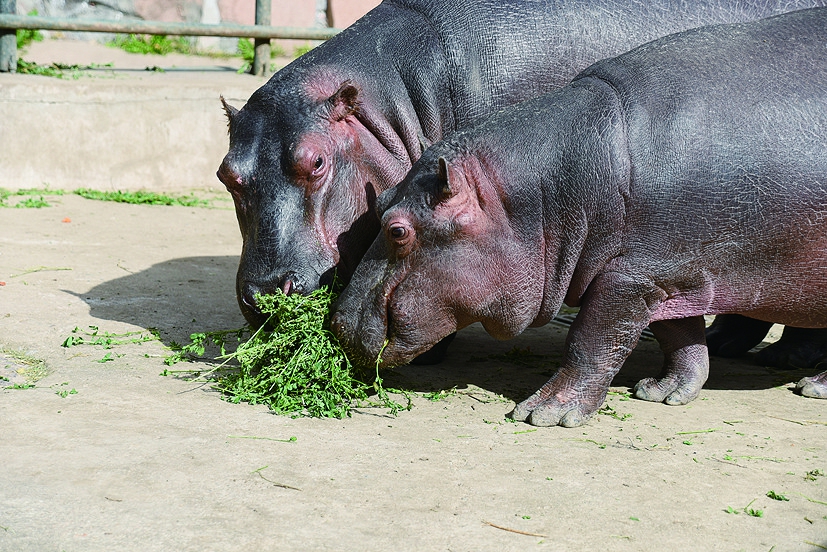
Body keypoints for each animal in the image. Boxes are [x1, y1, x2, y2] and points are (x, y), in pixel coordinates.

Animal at [218, 1, 827, 366]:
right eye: (226, 174)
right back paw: (730, 345)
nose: (266, 292)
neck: (390, 104)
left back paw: (798, 367)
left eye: (316, 161)